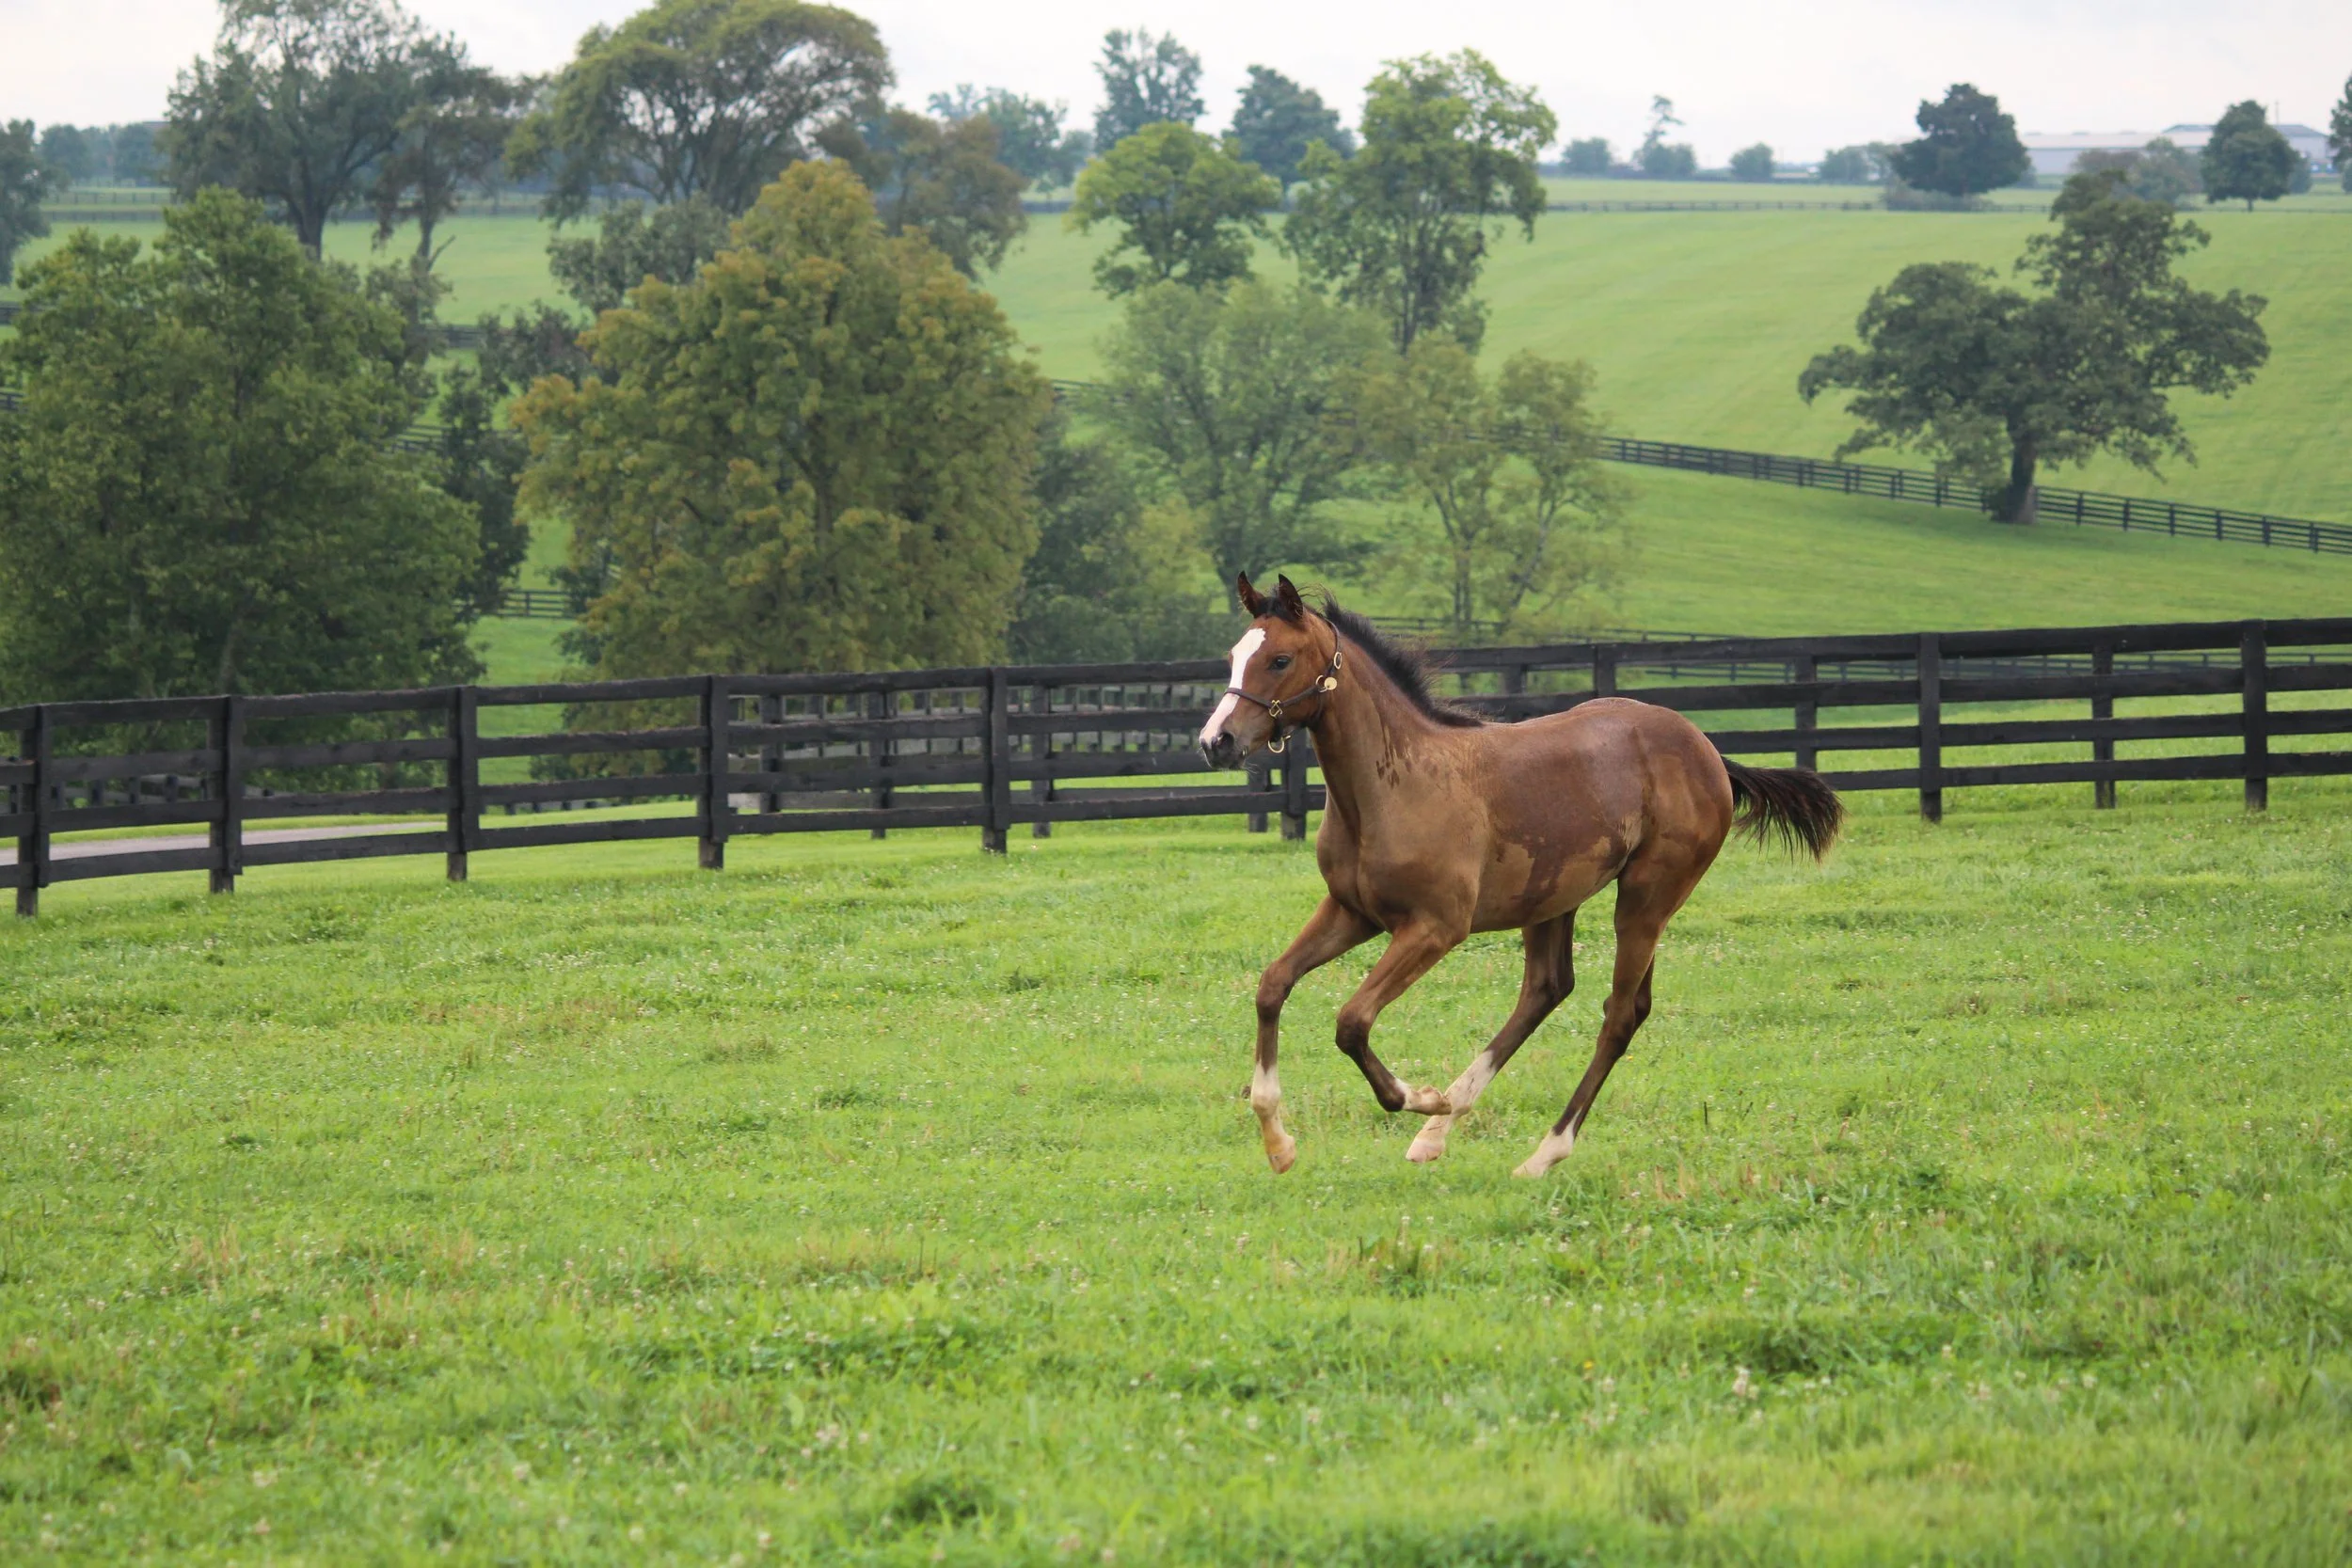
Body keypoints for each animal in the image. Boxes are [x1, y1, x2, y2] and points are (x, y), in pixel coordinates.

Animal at [1197, 574, 1843, 1178]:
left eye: (1280, 659)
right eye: (1232, 655)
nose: (1215, 742)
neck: (1393, 784)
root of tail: (1707, 750)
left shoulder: (1436, 927)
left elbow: (1351, 1022)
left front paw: (1420, 1096)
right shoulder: (1352, 912)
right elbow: (1272, 984)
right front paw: (1278, 1143)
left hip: (1648, 898)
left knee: (1618, 1014)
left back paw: (1538, 1150)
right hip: (1554, 899)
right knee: (1548, 990)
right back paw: (1438, 1134)